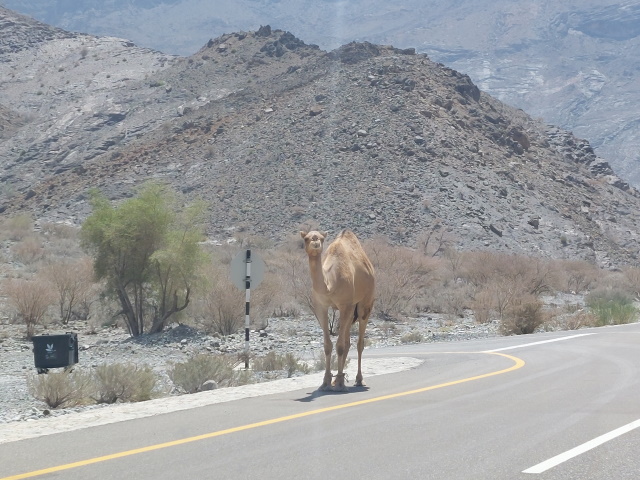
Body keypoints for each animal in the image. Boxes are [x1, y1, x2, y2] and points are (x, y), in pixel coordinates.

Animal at [300, 229, 375, 391]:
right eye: (306, 238)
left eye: (321, 238)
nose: (315, 242)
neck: (330, 284)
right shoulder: (321, 306)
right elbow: (328, 346)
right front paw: (327, 381)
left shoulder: (345, 305)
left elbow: (339, 345)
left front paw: (340, 382)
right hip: (351, 309)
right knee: (347, 341)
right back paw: (338, 379)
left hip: (365, 303)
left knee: (359, 342)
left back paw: (359, 379)